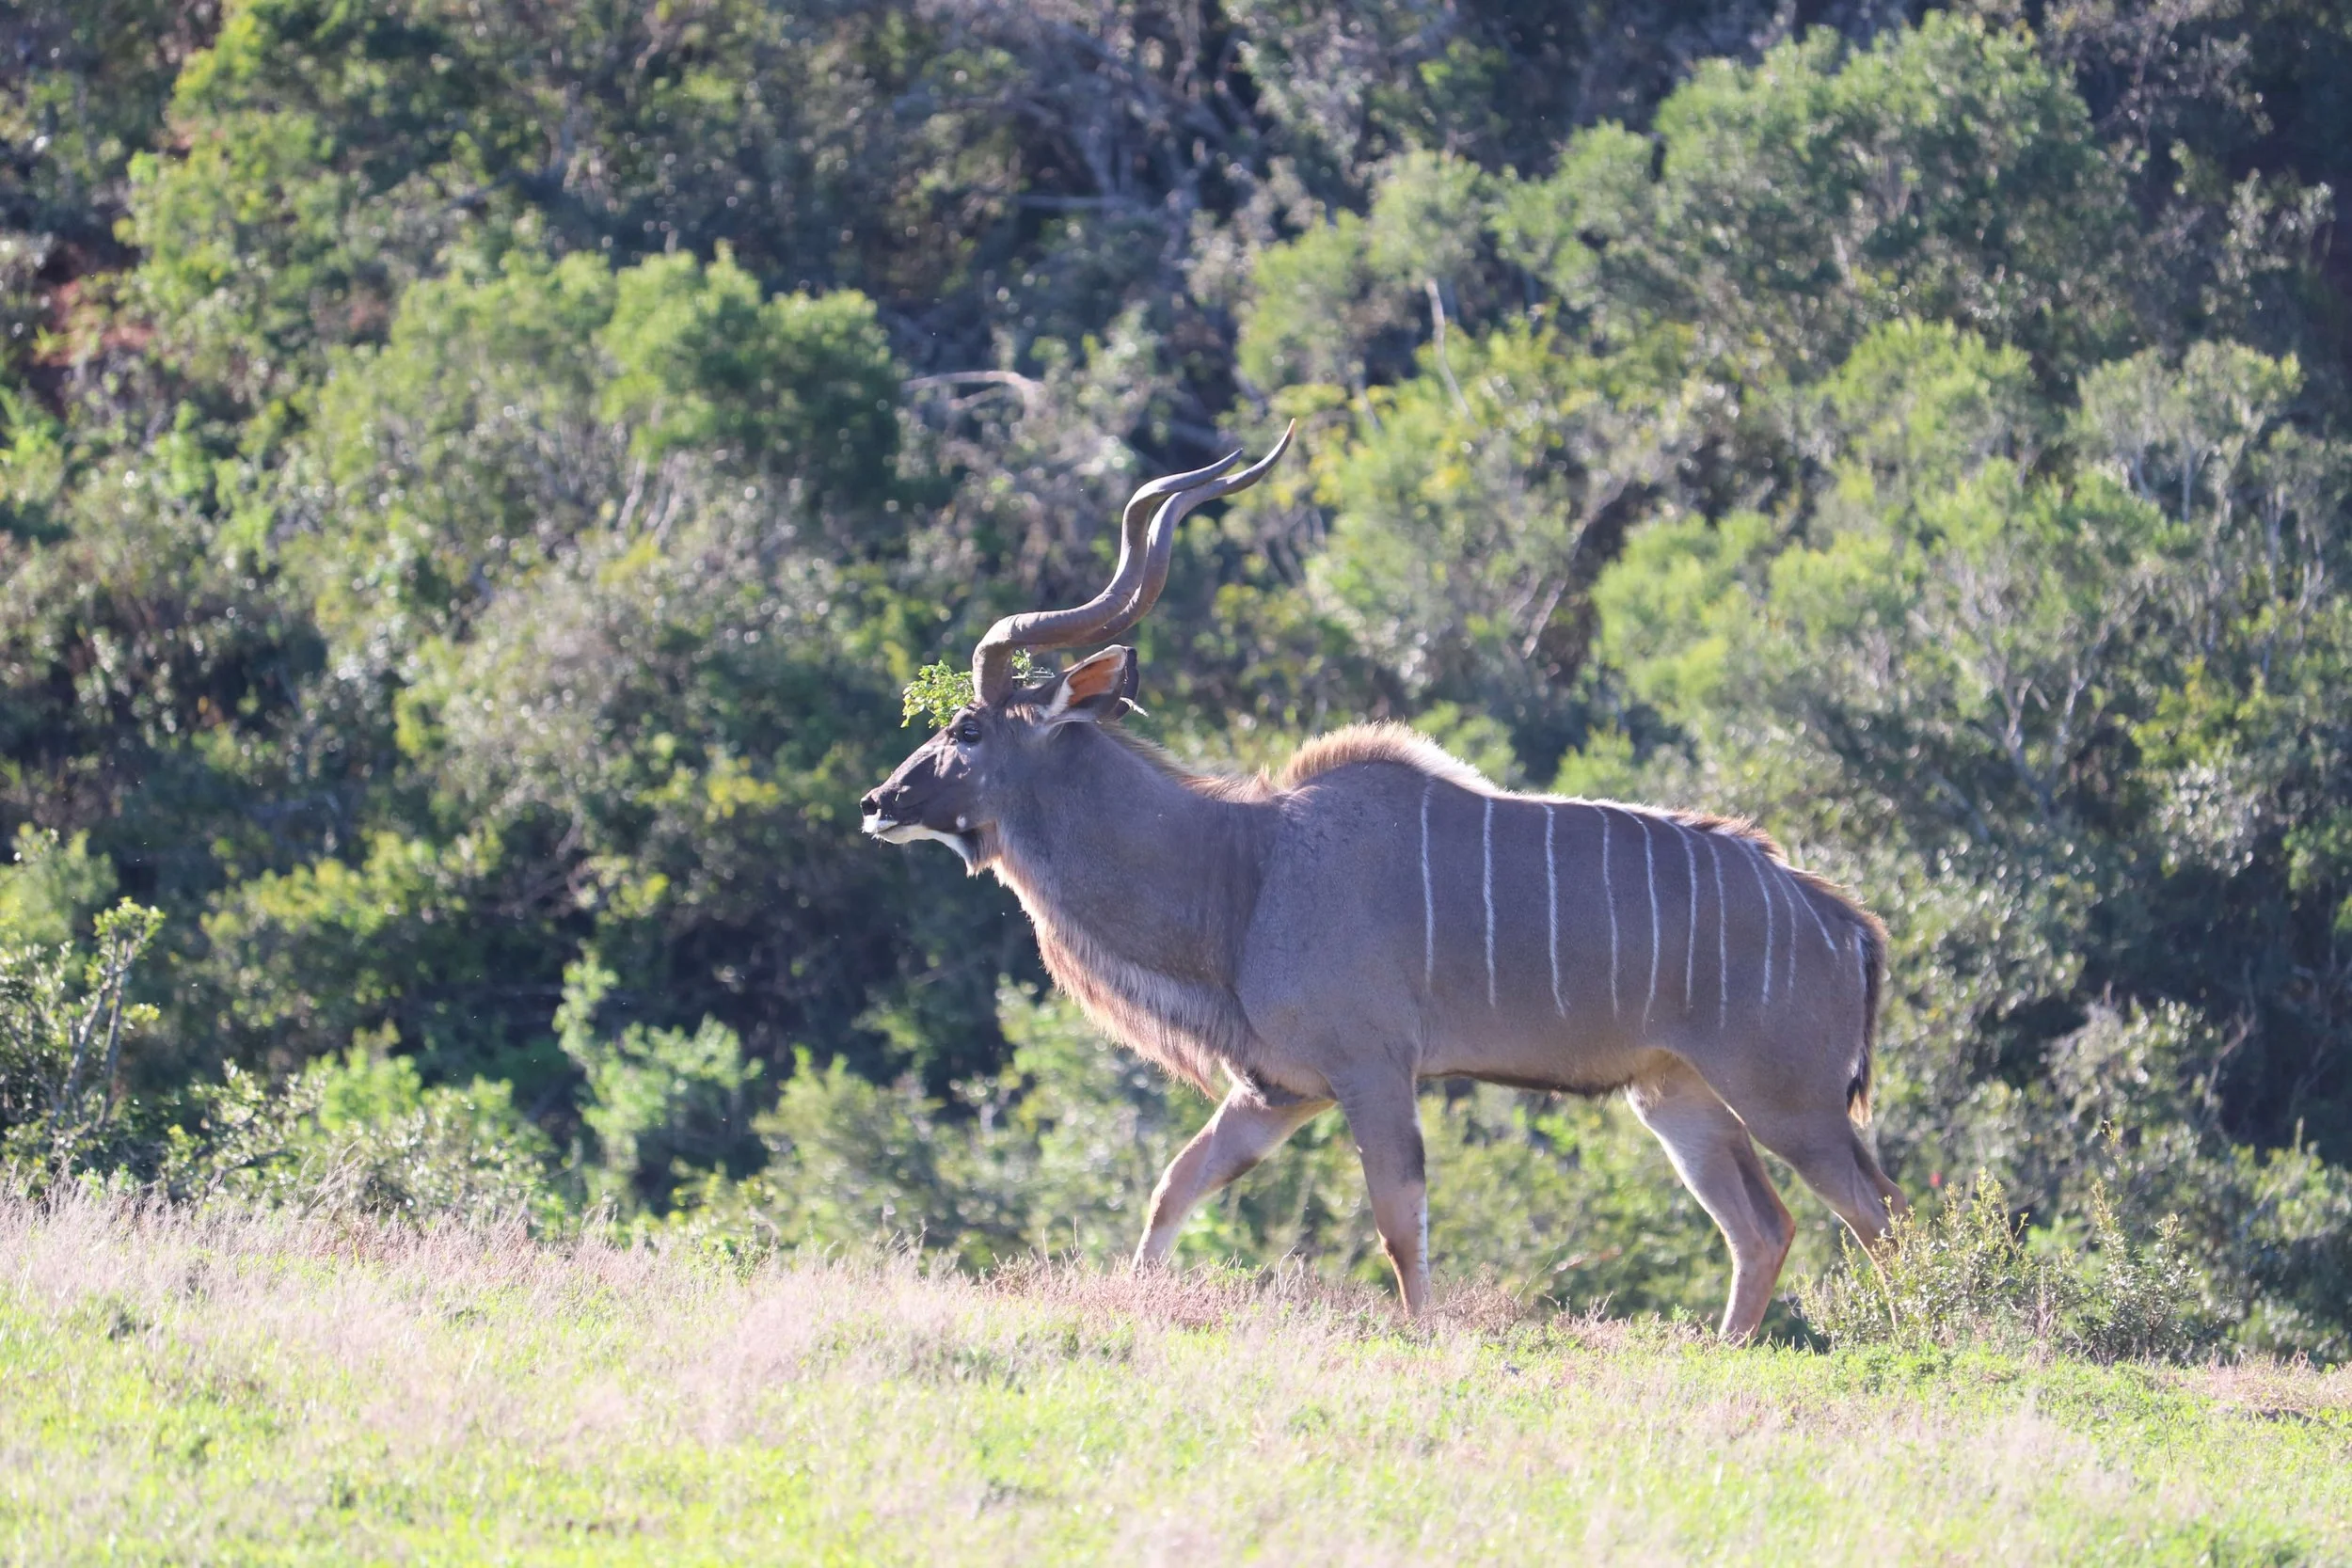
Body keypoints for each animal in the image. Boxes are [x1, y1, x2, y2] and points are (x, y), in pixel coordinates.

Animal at [860, 426, 1904, 1338]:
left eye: (966, 729)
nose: (877, 801)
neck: (1244, 870)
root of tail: (1844, 922)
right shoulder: (1278, 1090)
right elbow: (1174, 1186)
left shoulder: (1370, 1070)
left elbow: (1399, 1224)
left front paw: (1425, 1339)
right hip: (1676, 1094)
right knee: (1764, 1226)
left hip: (1789, 1100)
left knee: (1879, 1213)